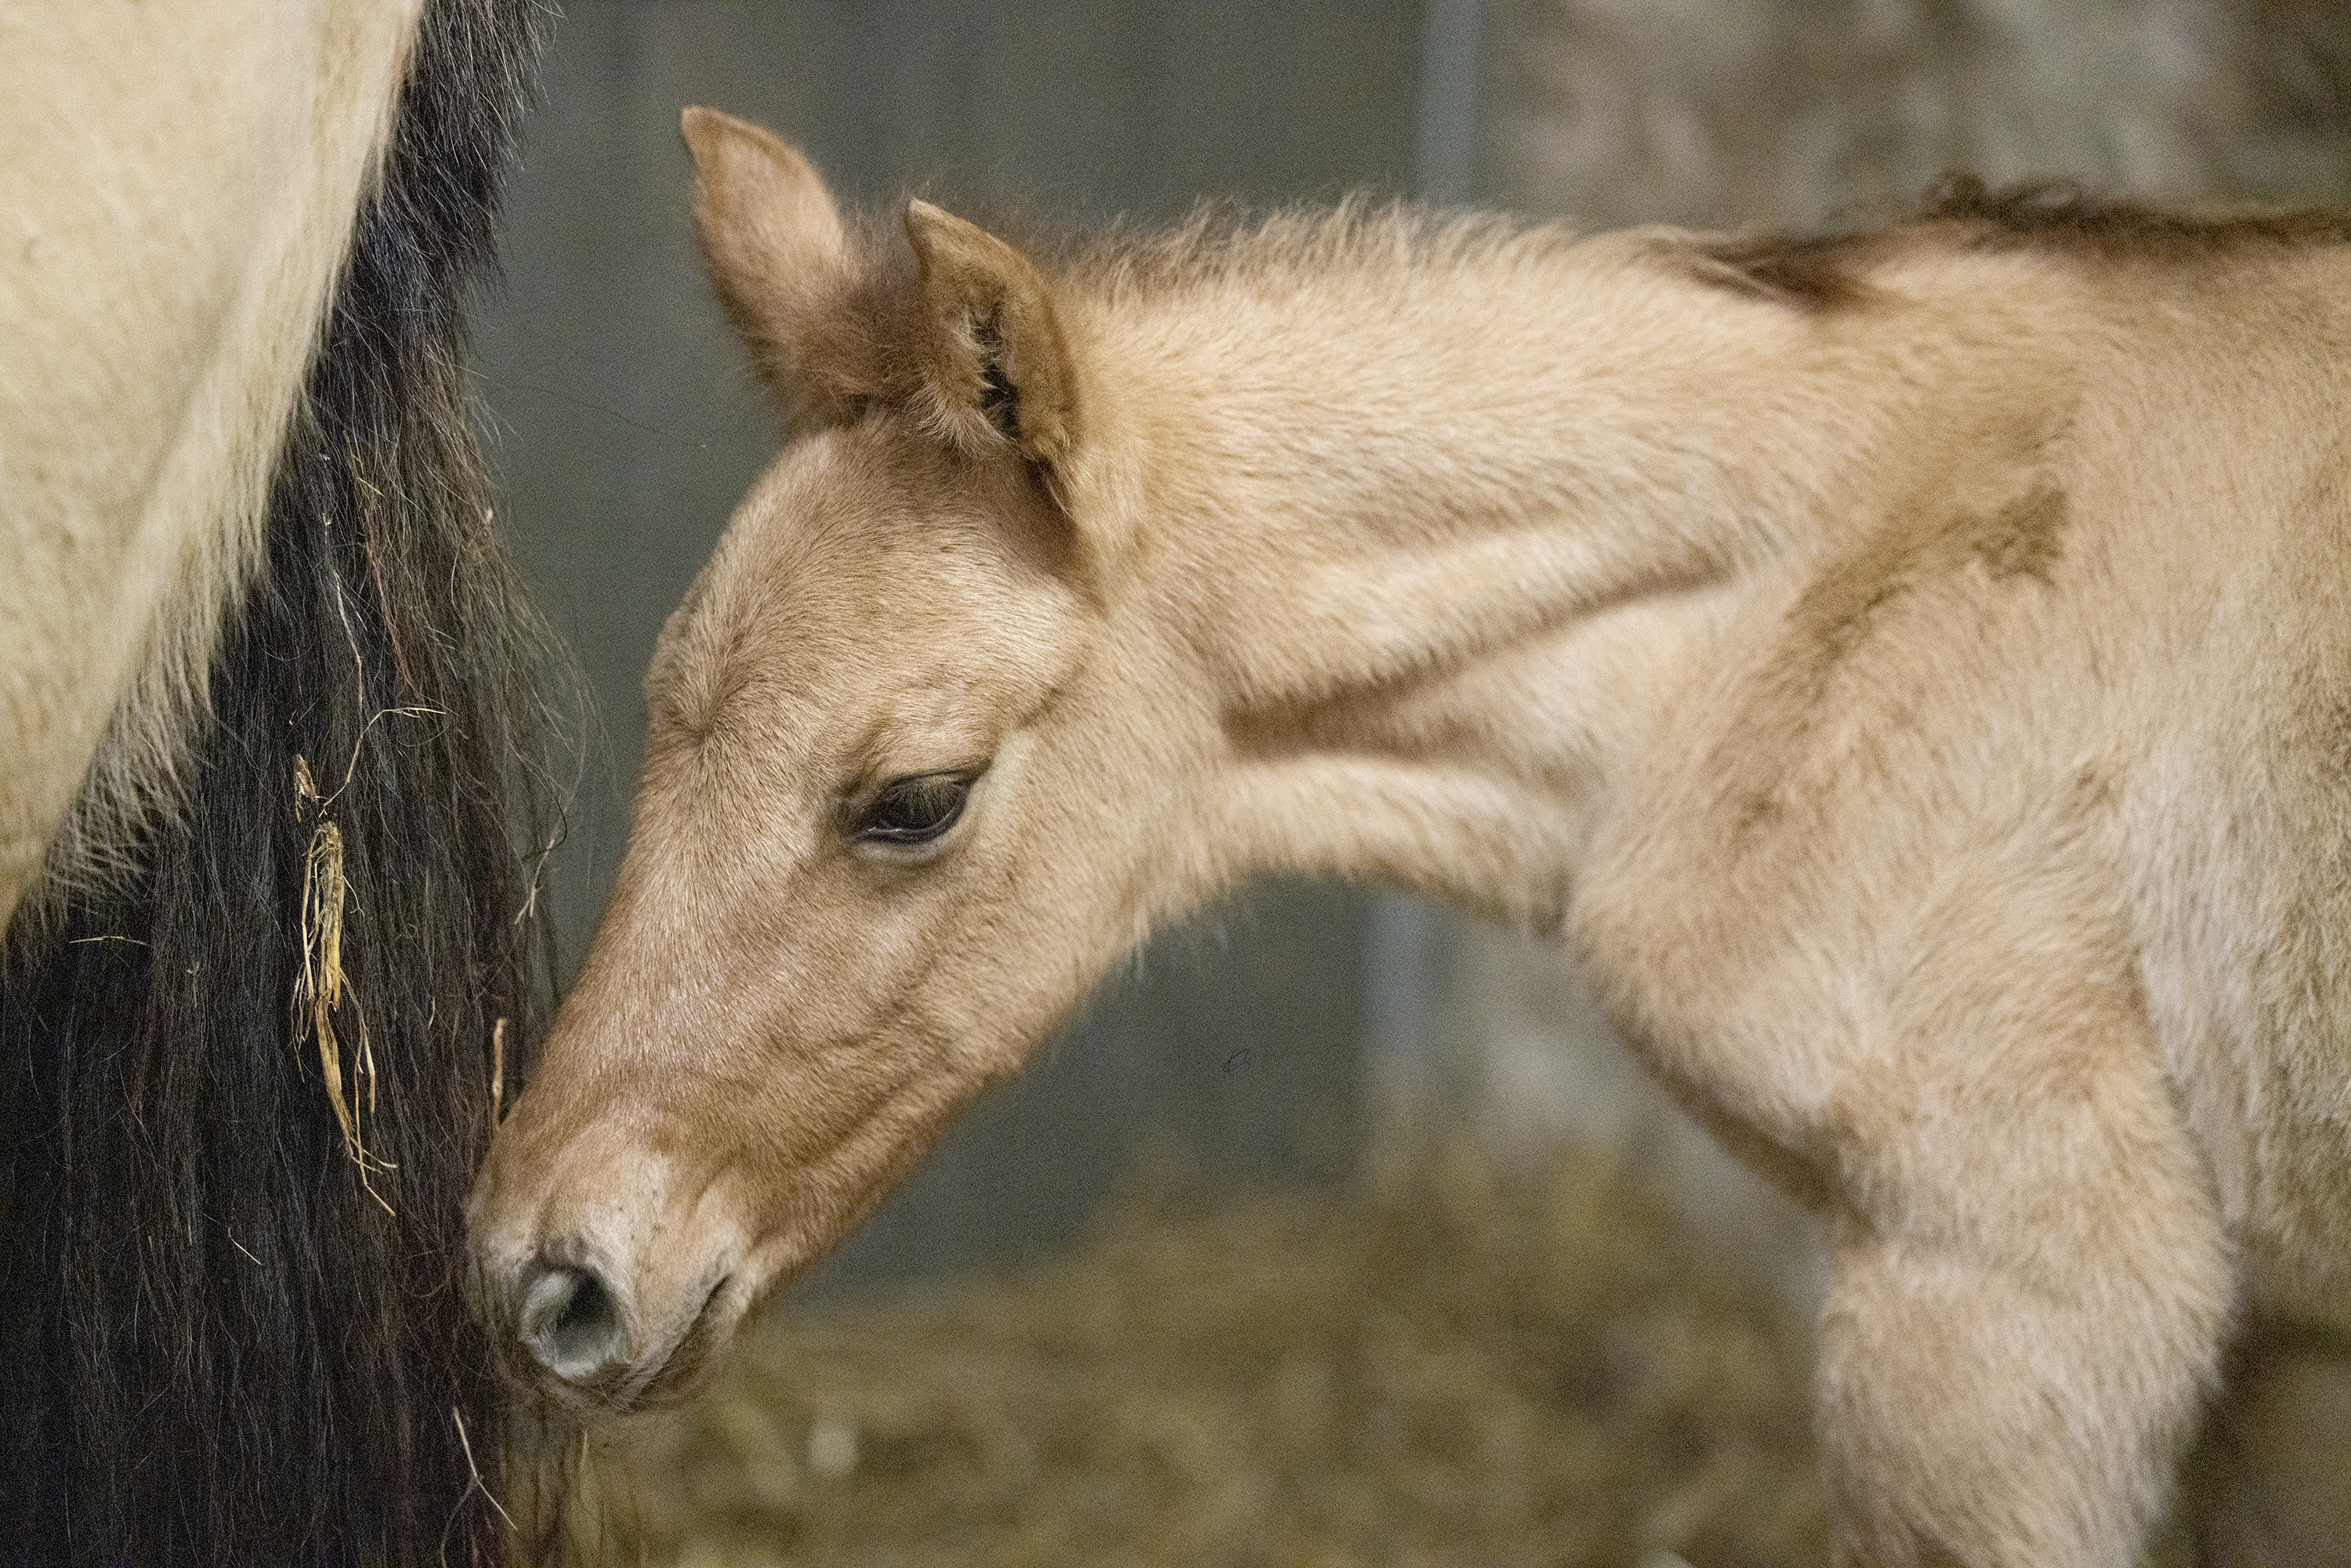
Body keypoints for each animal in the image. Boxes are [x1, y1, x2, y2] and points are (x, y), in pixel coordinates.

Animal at [468, 110, 2351, 1568]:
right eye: (663, 705)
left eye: (913, 797)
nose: (544, 1277)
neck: (1827, 587)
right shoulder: (2271, 1356)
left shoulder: (2012, 1285)